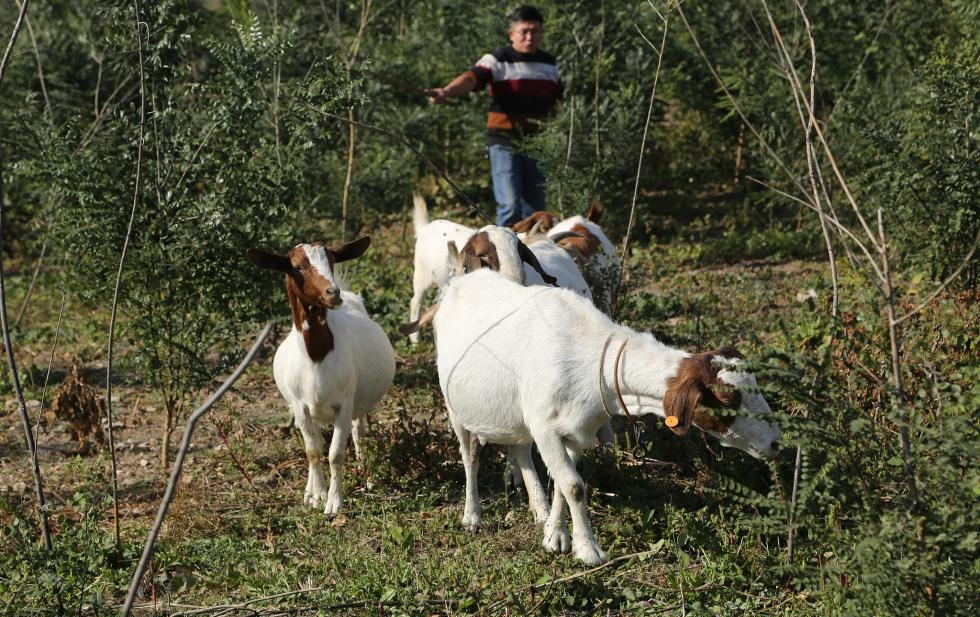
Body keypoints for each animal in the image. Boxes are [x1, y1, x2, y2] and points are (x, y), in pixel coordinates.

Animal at [247, 238, 396, 512]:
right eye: (297, 266)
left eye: (332, 260)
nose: (333, 293)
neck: (317, 356)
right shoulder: (299, 405)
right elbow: (313, 450)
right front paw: (317, 495)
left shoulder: (345, 404)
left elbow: (335, 453)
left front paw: (334, 502)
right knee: (315, 438)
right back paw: (310, 489)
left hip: (357, 405)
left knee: (358, 434)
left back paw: (366, 475)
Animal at [428, 270, 780, 564]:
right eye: (727, 399)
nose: (776, 443)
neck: (595, 358)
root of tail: (463, 279)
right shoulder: (545, 428)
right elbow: (574, 486)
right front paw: (588, 550)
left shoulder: (574, 430)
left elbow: (563, 483)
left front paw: (554, 535)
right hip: (454, 406)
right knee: (469, 456)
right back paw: (472, 516)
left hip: (516, 415)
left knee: (521, 449)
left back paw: (539, 508)